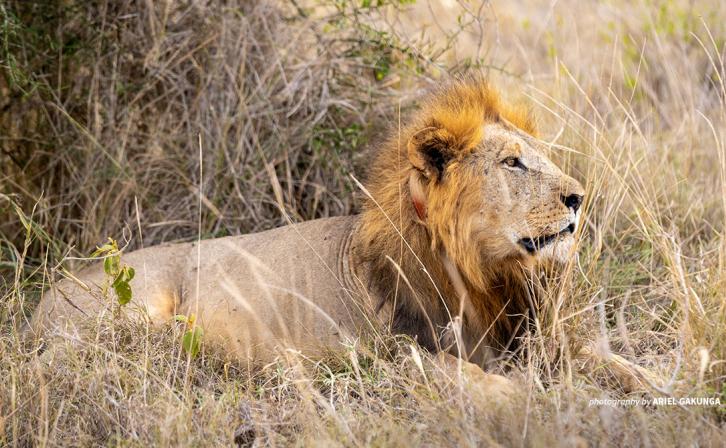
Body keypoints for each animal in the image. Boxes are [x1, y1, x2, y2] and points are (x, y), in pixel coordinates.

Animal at [29, 79, 660, 394]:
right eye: (512, 163)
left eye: (540, 157)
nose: (579, 197)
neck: (484, 273)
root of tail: (39, 301)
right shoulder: (394, 352)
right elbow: (474, 377)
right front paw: (530, 400)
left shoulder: (524, 335)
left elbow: (602, 360)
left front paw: (658, 383)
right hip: (132, 314)